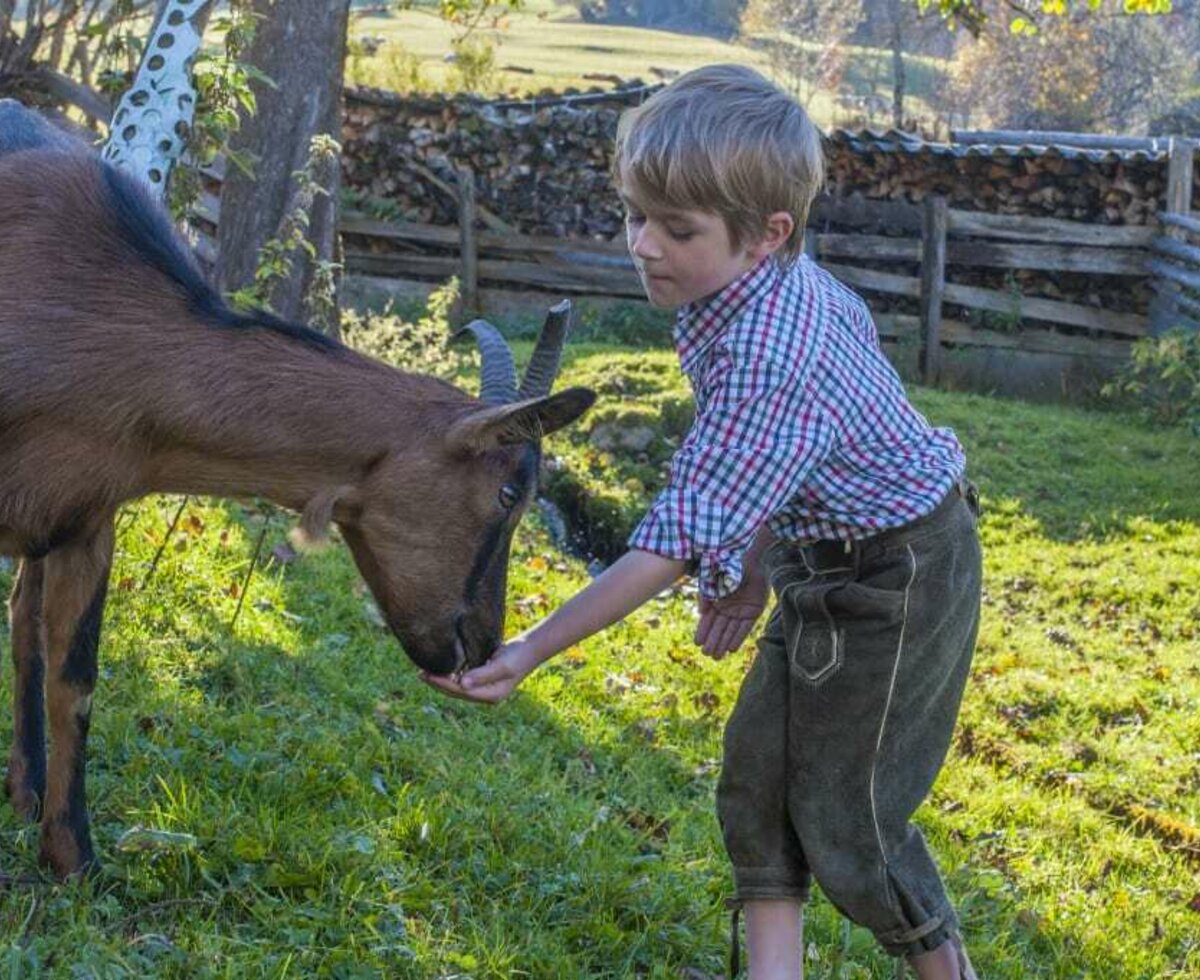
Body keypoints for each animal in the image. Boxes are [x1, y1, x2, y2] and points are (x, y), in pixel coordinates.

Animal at [0, 101, 595, 878]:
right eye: (508, 493)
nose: (482, 645)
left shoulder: (87, 519)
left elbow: (75, 681)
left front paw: (74, 858)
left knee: (23, 626)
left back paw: (25, 790)